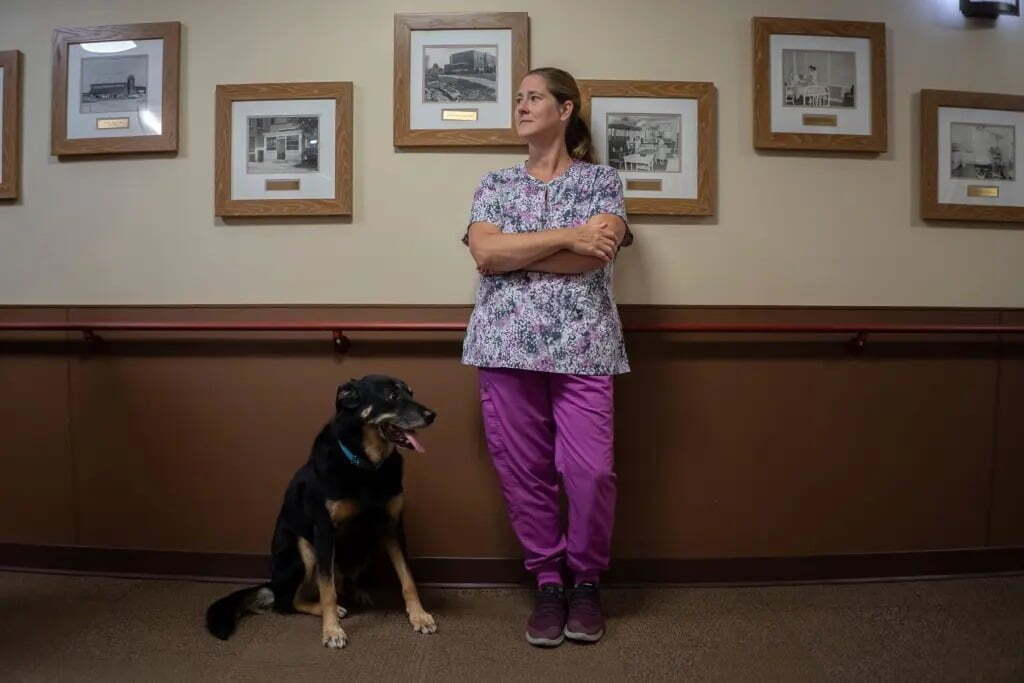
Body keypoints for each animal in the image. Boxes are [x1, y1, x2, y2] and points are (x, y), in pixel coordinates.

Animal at [203, 376, 436, 651]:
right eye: (392, 396)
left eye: (411, 393)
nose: (432, 415)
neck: (366, 465)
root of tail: (272, 584)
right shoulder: (324, 532)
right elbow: (328, 590)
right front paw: (332, 629)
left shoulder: (392, 527)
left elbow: (408, 578)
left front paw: (419, 616)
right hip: (304, 551)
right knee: (288, 601)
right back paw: (330, 609)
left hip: (366, 545)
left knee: (339, 582)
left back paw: (356, 593)